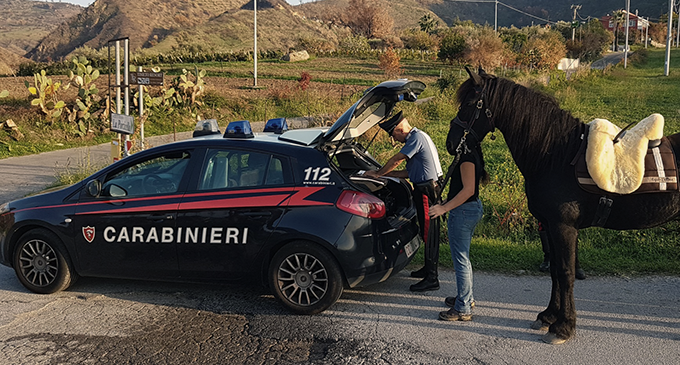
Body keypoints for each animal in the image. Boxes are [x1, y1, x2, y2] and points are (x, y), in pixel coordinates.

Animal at [448, 67, 680, 342]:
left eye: (469, 104)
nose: (451, 143)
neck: (557, 156)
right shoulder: (549, 225)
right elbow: (555, 271)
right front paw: (549, 316)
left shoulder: (563, 227)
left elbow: (566, 273)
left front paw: (564, 326)